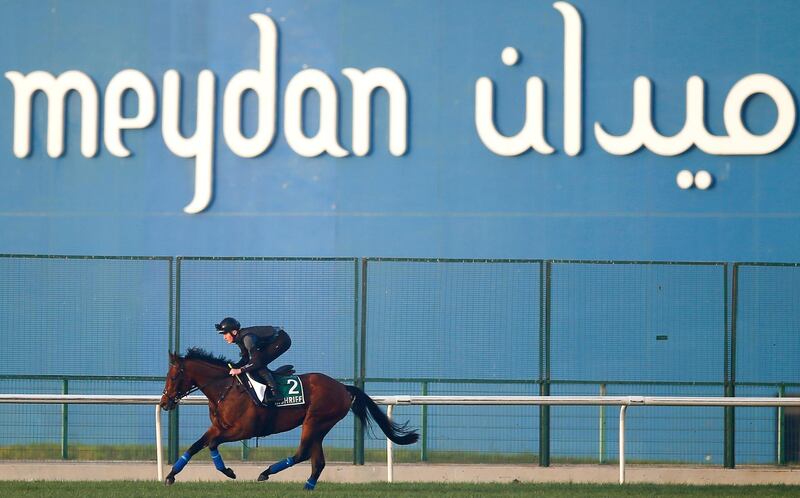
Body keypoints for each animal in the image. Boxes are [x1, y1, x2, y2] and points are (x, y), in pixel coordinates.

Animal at [158, 348, 418, 488]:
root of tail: (343, 388)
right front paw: (170, 476)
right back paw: (307, 487)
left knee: (303, 454)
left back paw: (266, 473)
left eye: (173, 376)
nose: (164, 403)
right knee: (317, 461)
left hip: (315, 421)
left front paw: (229, 472)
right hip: (318, 426)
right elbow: (194, 446)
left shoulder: (242, 430)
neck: (226, 389)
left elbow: (211, 444)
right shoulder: (219, 427)